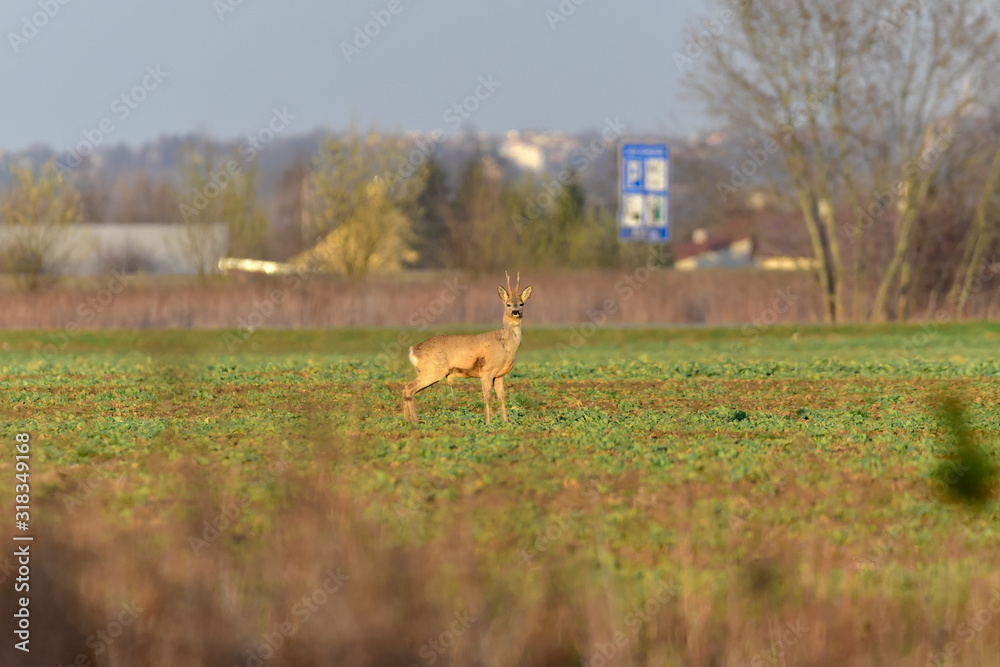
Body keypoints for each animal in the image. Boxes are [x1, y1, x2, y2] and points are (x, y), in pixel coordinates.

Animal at [404, 270, 536, 422]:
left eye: (521, 304)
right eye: (508, 304)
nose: (515, 312)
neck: (506, 346)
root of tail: (413, 350)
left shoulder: (499, 374)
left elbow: (502, 397)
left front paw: (506, 422)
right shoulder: (486, 371)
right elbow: (487, 397)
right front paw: (488, 422)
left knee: (407, 389)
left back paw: (407, 421)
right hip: (432, 370)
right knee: (409, 388)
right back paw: (414, 422)